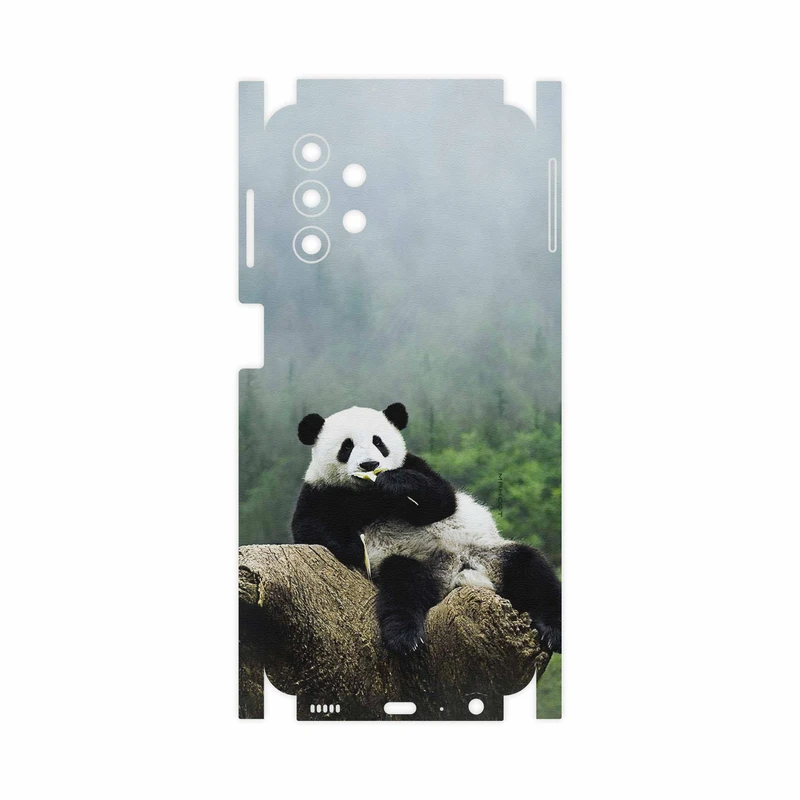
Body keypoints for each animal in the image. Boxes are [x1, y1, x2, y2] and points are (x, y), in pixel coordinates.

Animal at [292, 402, 562, 655]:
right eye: (346, 446)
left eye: (378, 442)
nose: (370, 464)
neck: (369, 494)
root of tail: (458, 574)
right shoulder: (321, 491)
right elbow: (309, 527)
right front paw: (355, 547)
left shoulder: (415, 465)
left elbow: (441, 500)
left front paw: (395, 483)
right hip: (414, 562)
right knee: (403, 586)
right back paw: (405, 637)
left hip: (490, 553)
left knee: (532, 570)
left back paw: (553, 631)